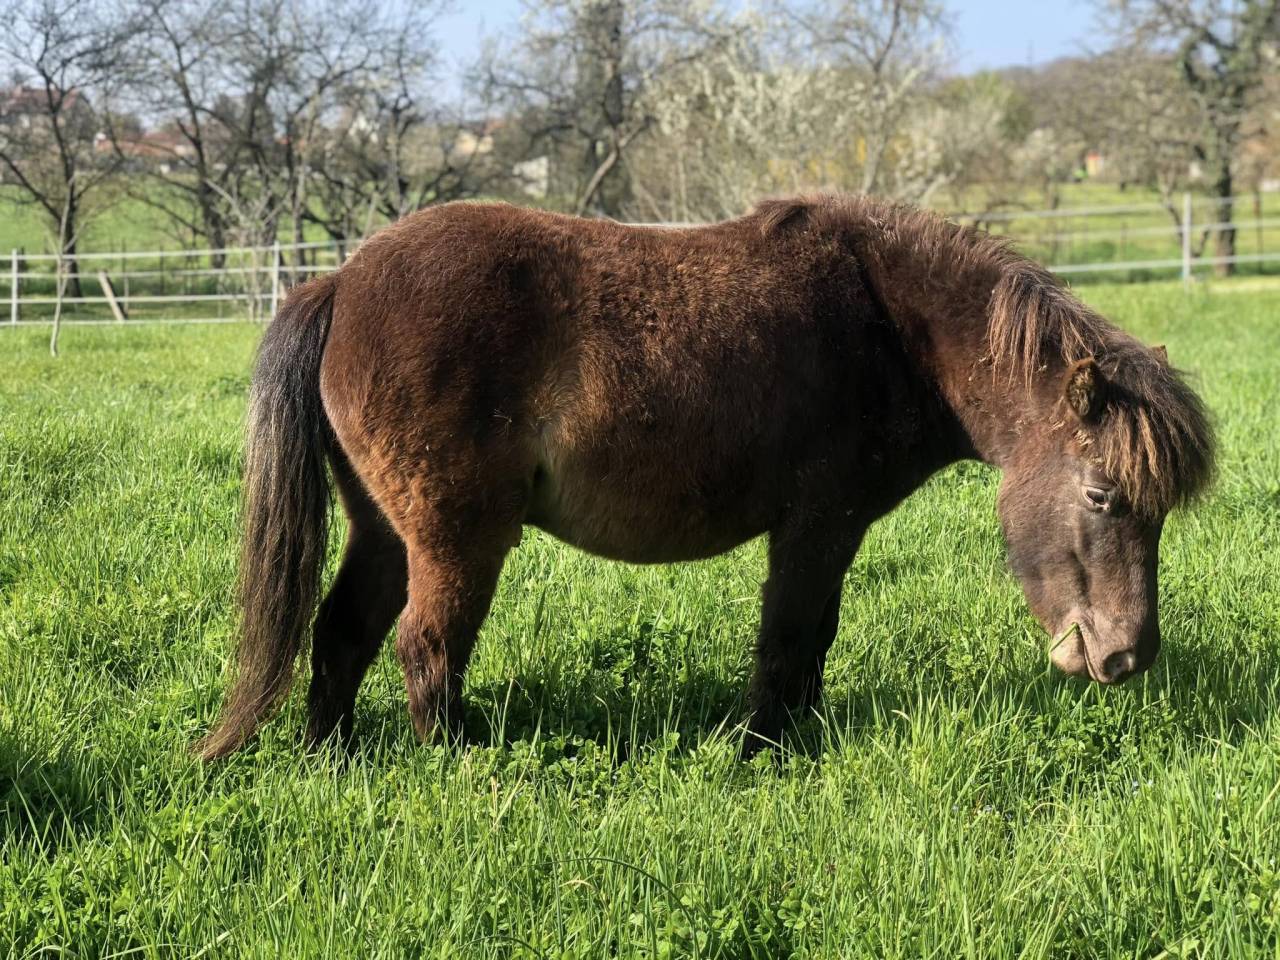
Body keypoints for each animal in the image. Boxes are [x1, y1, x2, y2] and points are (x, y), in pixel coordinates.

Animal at [196, 194, 1214, 761]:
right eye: (1102, 495)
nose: (1126, 656)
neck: (889, 328)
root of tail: (340, 283)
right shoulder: (816, 526)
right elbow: (788, 641)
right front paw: (762, 751)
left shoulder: (829, 532)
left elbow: (811, 644)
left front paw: (798, 740)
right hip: (456, 538)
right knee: (425, 648)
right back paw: (460, 767)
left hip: (384, 530)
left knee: (341, 636)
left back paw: (333, 761)